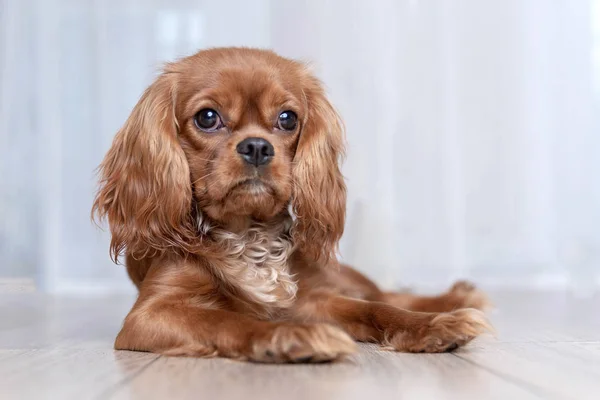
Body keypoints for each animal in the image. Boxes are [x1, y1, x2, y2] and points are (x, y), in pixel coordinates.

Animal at [91, 47, 490, 362]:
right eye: (207, 117)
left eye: (287, 119)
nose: (256, 146)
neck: (249, 234)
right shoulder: (151, 314)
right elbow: (226, 319)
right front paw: (292, 336)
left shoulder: (315, 299)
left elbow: (377, 309)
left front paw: (433, 326)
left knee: (384, 293)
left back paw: (452, 300)